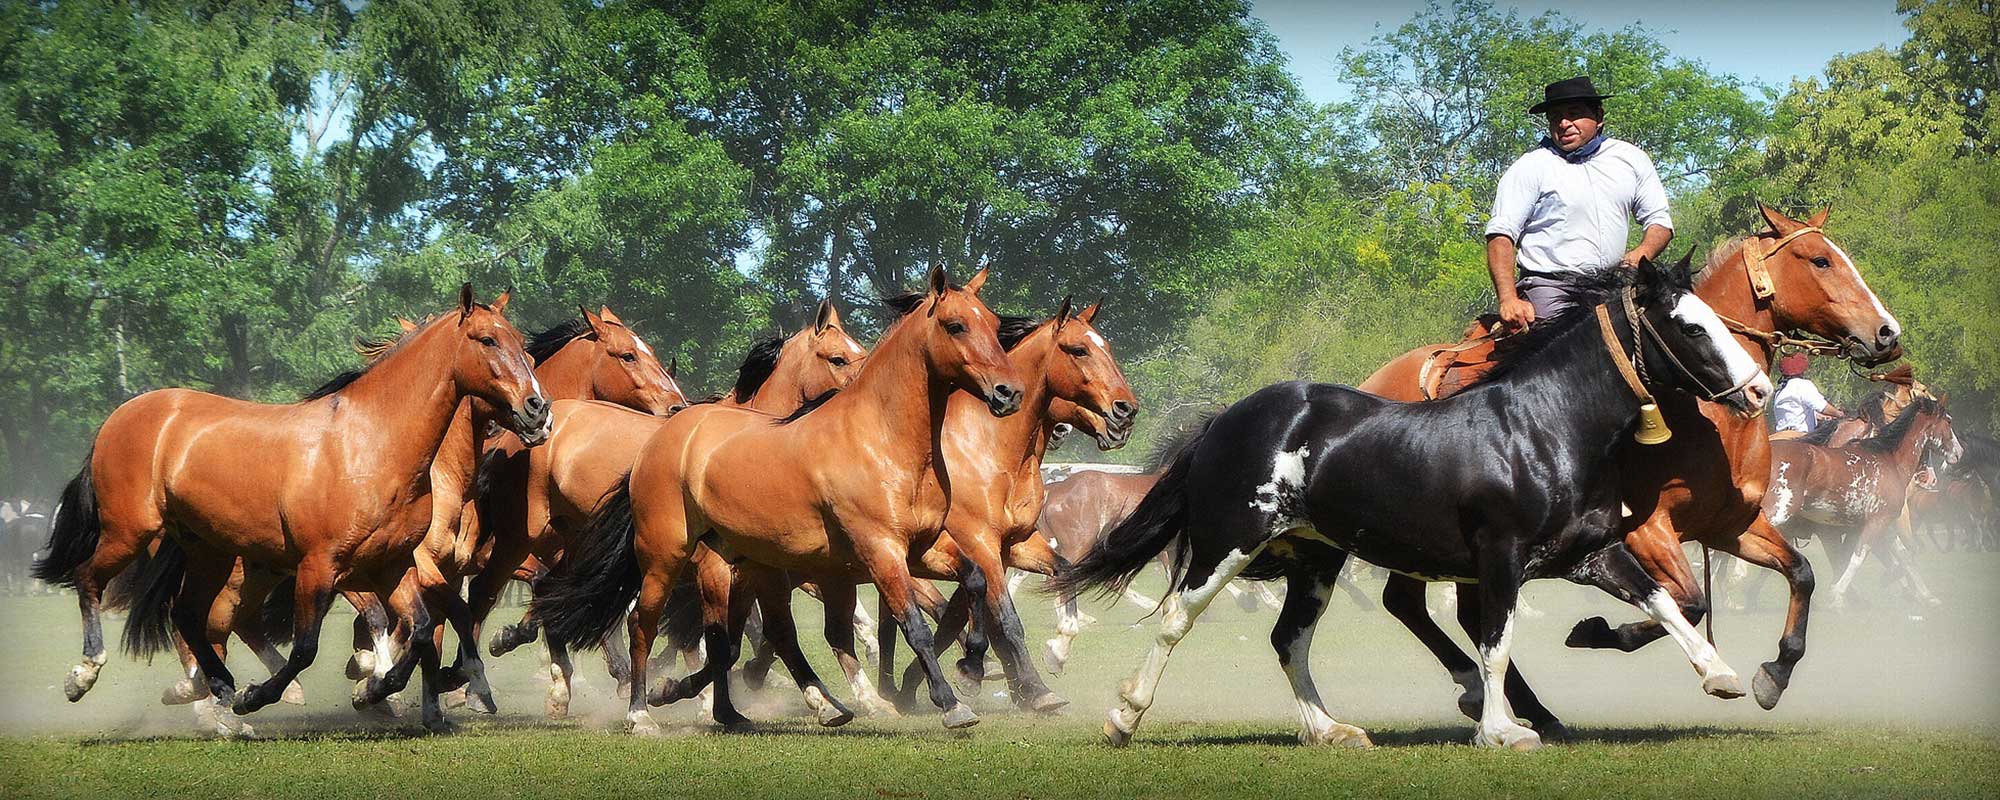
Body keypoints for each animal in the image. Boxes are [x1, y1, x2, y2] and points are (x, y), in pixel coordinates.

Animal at [37, 286, 556, 732]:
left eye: (525, 350)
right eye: (487, 340)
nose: (539, 410)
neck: (371, 444)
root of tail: (121, 415)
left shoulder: (392, 566)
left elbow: (423, 631)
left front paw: (382, 692)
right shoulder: (321, 567)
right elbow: (309, 647)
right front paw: (261, 696)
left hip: (209, 551)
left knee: (188, 615)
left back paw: (220, 685)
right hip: (130, 532)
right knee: (90, 579)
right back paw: (88, 676)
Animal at [536, 268, 1024, 732]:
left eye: (993, 322)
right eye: (955, 325)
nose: (1008, 392)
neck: (880, 439)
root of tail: (659, 441)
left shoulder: (921, 548)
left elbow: (974, 580)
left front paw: (972, 664)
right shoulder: (881, 552)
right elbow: (914, 627)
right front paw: (952, 704)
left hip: (753, 566)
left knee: (751, 636)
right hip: (666, 555)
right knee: (645, 624)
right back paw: (641, 712)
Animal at [1056, 258, 1776, 752]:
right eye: (1691, 326)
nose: (1760, 391)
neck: (1543, 428)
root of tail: (1226, 420)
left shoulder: (1590, 553)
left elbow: (1663, 603)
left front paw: (1723, 676)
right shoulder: (1500, 557)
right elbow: (1495, 642)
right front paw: (1503, 730)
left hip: (1317, 561)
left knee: (1289, 639)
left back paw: (1331, 729)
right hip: (1229, 542)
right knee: (1176, 619)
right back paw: (1123, 716)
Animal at [1776, 396, 1960, 608]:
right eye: (1949, 421)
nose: (1958, 453)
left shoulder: (1877, 523)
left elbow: (1903, 555)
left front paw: (1924, 594)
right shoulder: (1857, 527)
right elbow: (1853, 557)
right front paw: (1839, 594)